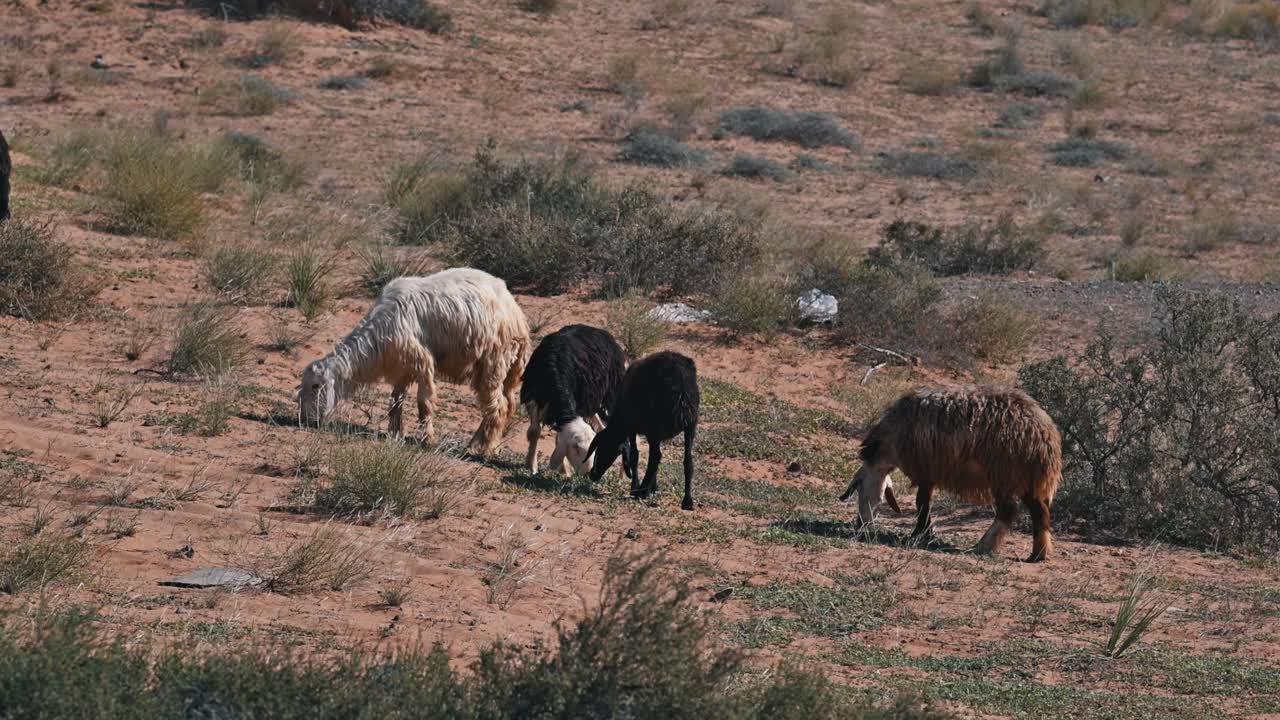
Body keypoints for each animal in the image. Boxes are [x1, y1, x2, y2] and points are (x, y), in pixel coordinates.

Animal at [298, 268, 531, 457]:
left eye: (316, 385)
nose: (306, 421)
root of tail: (517, 314)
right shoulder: (402, 368)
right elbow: (395, 401)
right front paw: (394, 433)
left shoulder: (422, 361)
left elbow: (424, 403)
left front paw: (427, 439)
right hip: (502, 368)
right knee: (506, 404)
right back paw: (489, 444)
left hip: (495, 359)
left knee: (498, 406)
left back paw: (480, 448)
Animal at [520, 324, 628, 476]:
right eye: (576, 447)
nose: (588, 473)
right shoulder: (534, 396)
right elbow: (534, 432)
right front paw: (531, 466)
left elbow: (558, 439)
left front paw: (564, 471)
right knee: (602, 428)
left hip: (612, 394)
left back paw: (622, 475)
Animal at [588, 351, 699, 510]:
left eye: (602, 448)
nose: (593, 474)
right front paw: (653, 488)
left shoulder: (632, 427)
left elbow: (634, 456)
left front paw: (636, 488)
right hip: (690, 425)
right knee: (688, 460)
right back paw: (687, 501)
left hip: (655, 426)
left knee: (656, 457)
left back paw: (641, 491)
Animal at [839, 385, 1061, 562]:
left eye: (859, 489)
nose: (861, 524)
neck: (891, 442)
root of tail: (1045, 435)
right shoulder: (929, 473)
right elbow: (924, 503)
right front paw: (925, 534)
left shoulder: (925, 471)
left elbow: (921, 503)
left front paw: (920, 534)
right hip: (1029, 480)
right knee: (1040, 514)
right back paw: (1038, 554)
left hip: (1004, 474)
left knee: (1008, 511)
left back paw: (982, 547)